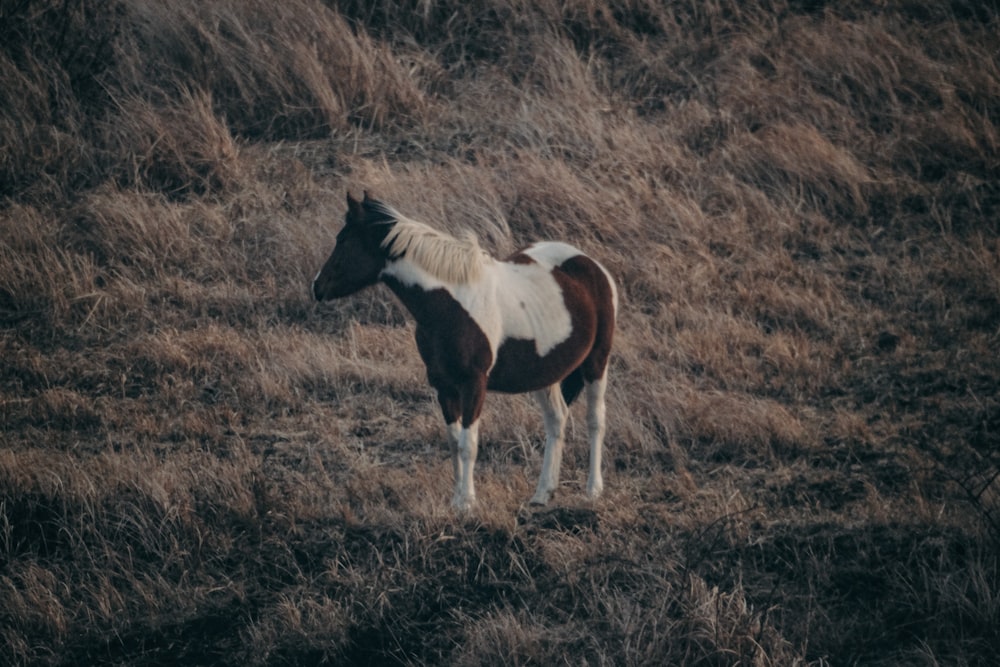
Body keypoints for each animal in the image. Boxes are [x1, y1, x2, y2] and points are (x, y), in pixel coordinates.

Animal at [312, 193, 616, 512]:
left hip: (597, 362)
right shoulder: (443, 385)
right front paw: (456, 500)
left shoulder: (474, 384)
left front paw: (467, 502)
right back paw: (542, 494)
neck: (452, 304)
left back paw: (593, 489)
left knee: (595, 420)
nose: (317, 287)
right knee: (557, 421)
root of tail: (591, 264)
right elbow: (454, 442)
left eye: (344, 239)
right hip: (545, 374)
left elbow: (469, 444)